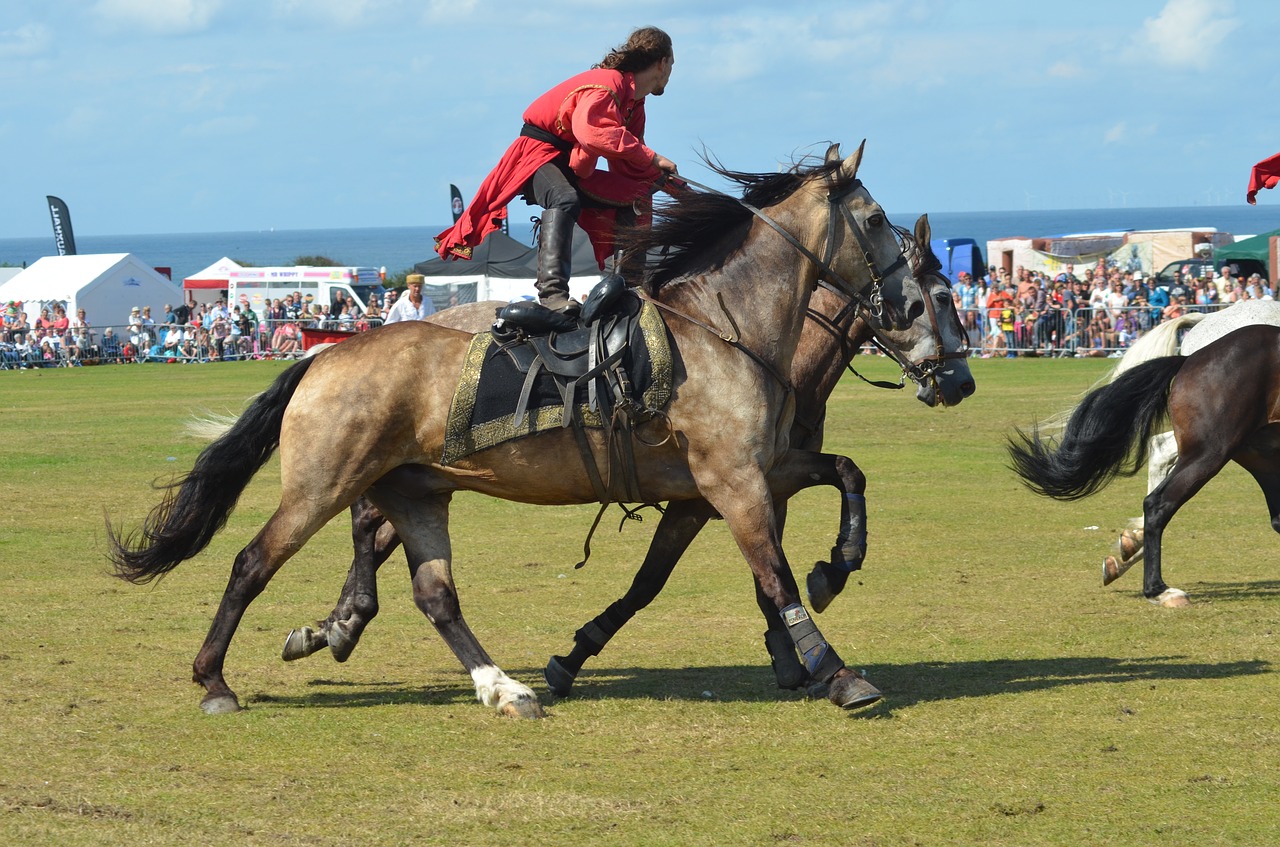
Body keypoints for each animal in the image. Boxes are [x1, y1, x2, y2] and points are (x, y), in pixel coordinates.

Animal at [282, 212, 977, 696]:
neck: (754, 346)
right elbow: (694, 578)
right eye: (942, 298)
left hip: (427, 471)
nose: (962, 381)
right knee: (365, 524)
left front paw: (815, 606)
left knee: (375, 528)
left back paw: (336, 624)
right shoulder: (721, 489)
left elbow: (828, 491)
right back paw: (337, 625)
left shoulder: (748, 482)